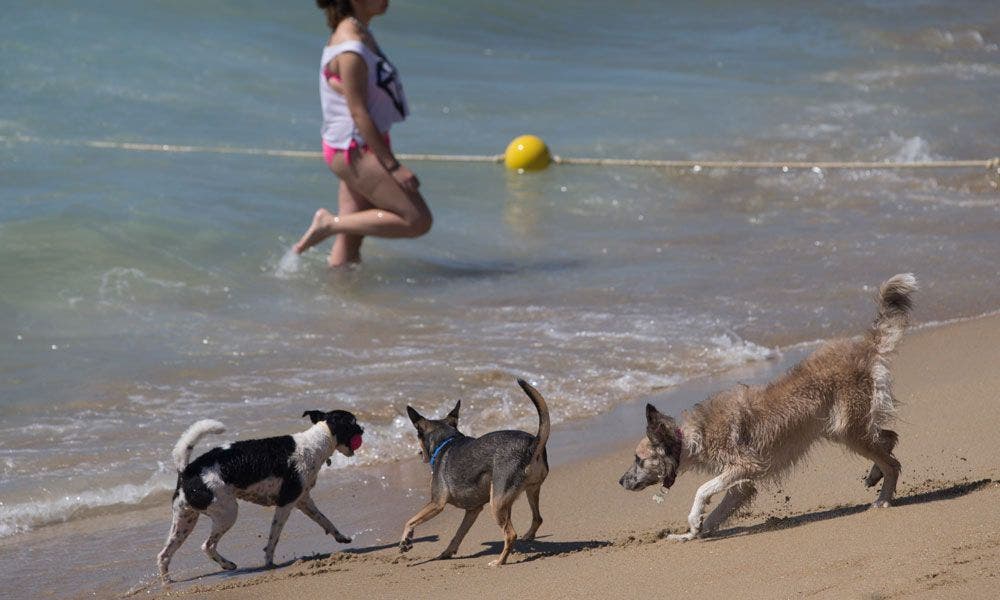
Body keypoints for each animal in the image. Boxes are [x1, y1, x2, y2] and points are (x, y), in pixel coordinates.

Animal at [154, 410, 362, 584]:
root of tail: (187, 470)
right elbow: (273, 538)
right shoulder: (286, 504)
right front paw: (269, 561)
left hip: (185, 521)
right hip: (227, 513)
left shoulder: (303, 500)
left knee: (164, 555)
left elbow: (325, 520)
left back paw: (168, 582)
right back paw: (227, 565)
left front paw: (341, 537)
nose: (364, 429)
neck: (316, 442)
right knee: (207, 545)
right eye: (353, 422)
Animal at [620, 274, 916, 540]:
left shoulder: (746, 465)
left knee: (892, 461)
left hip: (847, 428)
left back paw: (883, 498)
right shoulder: (741, 485)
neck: (692, 436)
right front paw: (692, 531)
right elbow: (718, 511)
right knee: (889, 438)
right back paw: (875, 475)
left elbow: (703, 489)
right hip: (842, 428)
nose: (621, 482)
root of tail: (863, 347)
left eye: (639, 460)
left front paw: (693, 520)